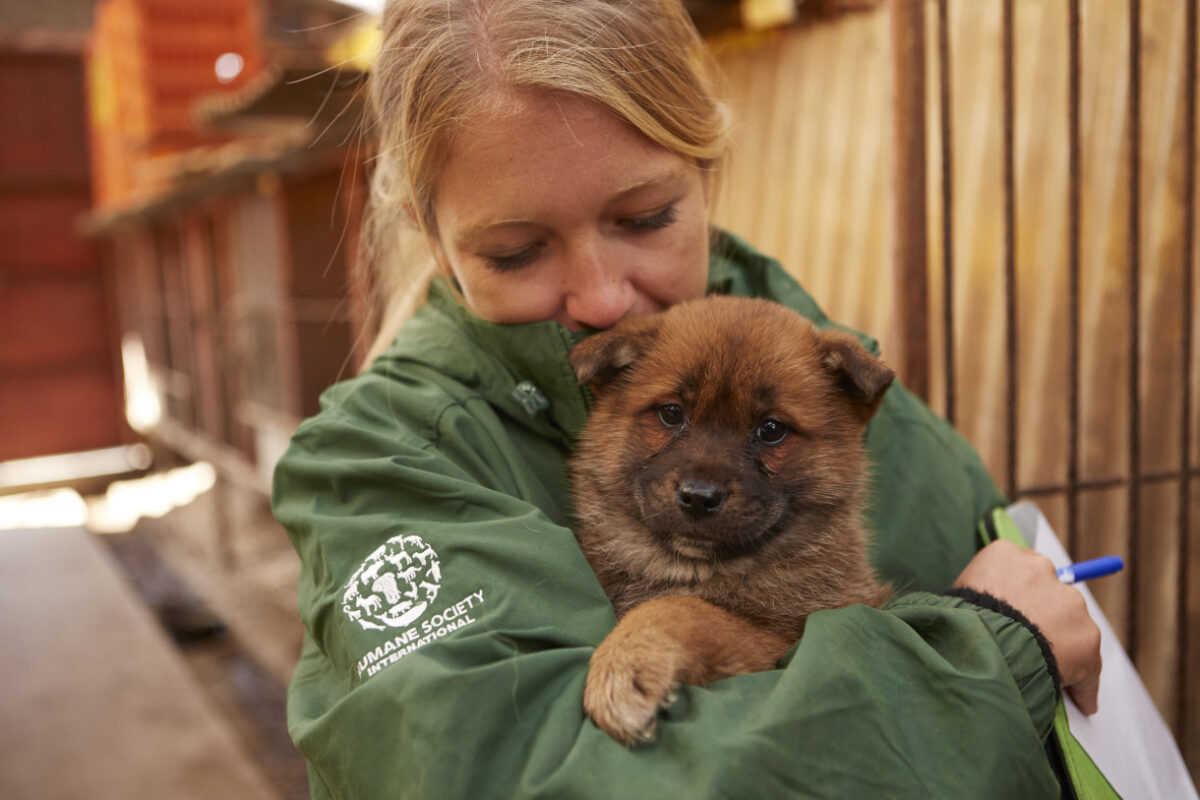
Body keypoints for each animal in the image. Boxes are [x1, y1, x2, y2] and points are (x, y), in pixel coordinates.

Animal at [568, 297, 892, 748]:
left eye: (772, 429)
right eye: (671, 413)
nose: (698, 498)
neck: (696, 569)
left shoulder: (781, 639)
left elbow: (682, 607)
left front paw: (623, 666)